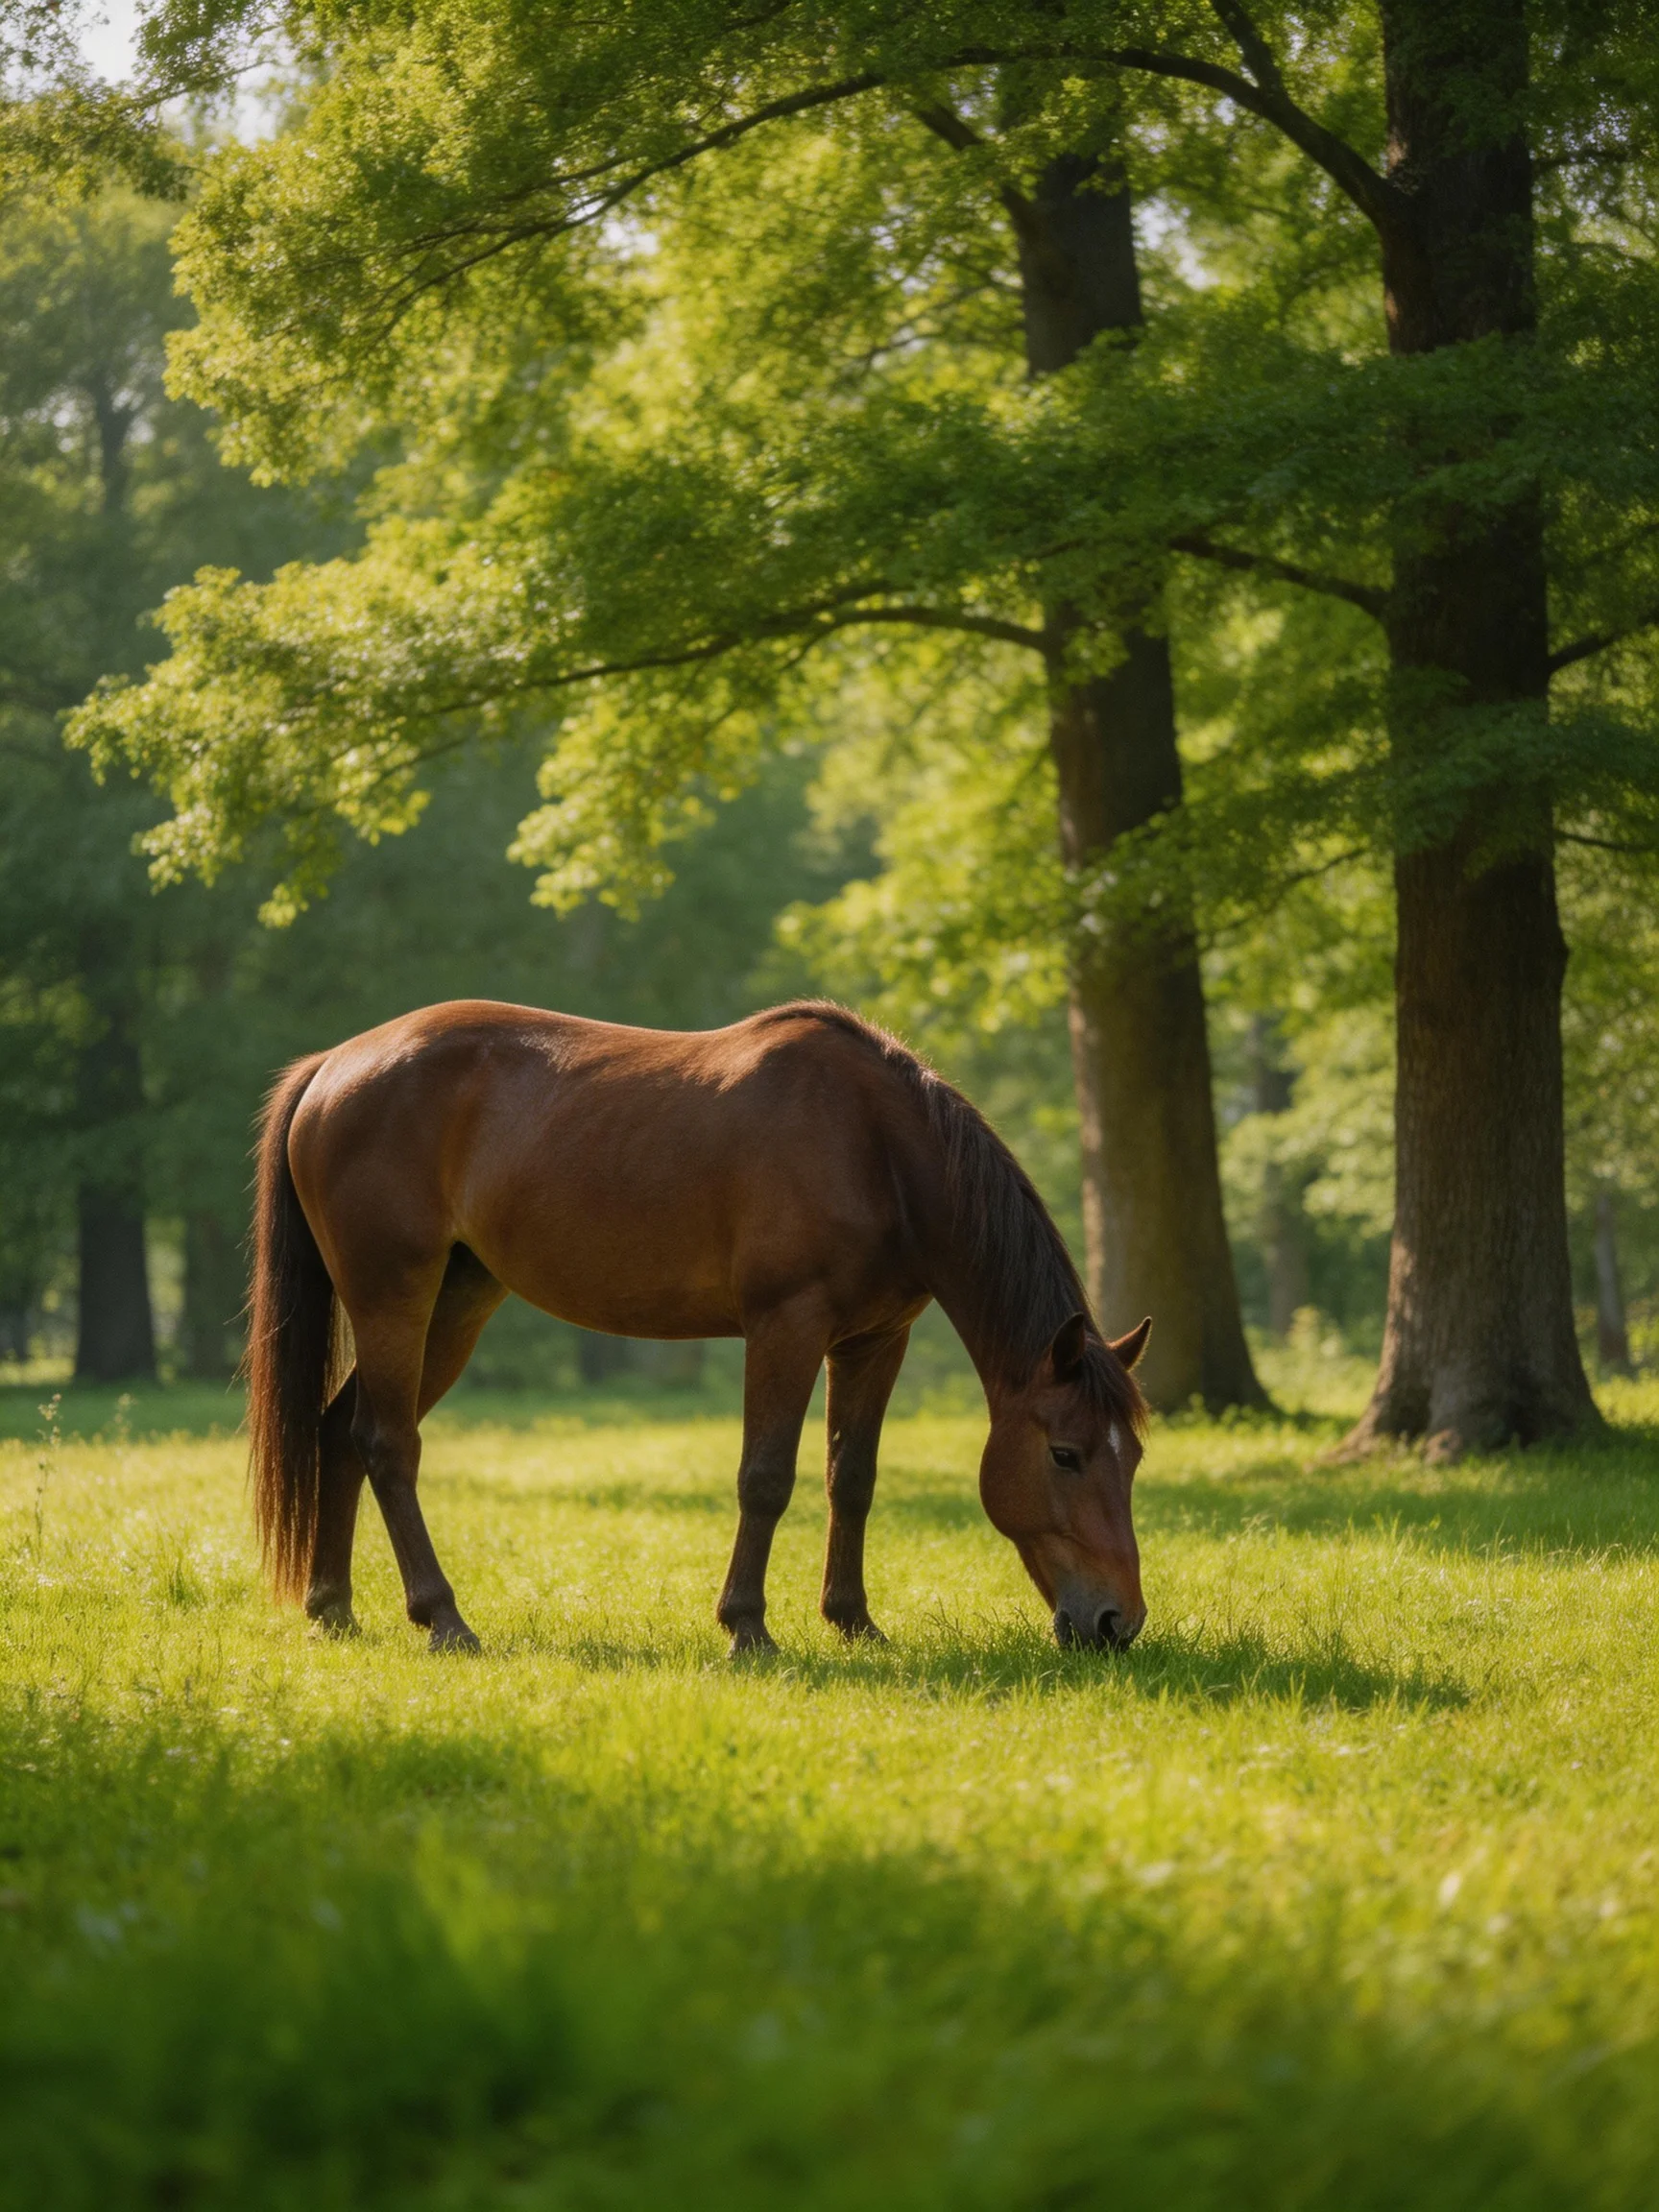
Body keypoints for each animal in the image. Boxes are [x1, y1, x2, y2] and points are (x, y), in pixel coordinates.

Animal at [246, 998, 1151, 1656]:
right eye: (1065, 1455)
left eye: (1133, 1457)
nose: (1119, 1623)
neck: (875, 1150)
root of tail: (334, 1067)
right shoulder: (787, 1327)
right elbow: (767, 1478)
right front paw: (747, 1627)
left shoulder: (873, 1342)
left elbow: (850, 1479)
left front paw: (854, 1622)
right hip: (392, 1297)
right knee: (388, 1445)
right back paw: (443, 1619)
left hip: (457, 1303)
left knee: (339, 1430)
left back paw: (333, 1609)